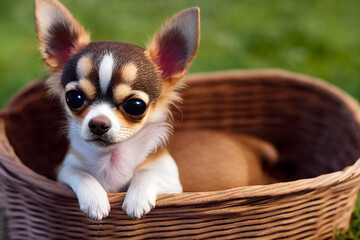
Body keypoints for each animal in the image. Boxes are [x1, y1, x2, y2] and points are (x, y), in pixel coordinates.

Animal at [34, 0, 200, 220]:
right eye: (74, 98)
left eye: (136, 105)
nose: (98, 124)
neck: (110, 159)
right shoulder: (63, 171)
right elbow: (80, 173)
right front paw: (95, 199)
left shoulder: (171, 180)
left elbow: (146, 172)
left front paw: (137, 198)